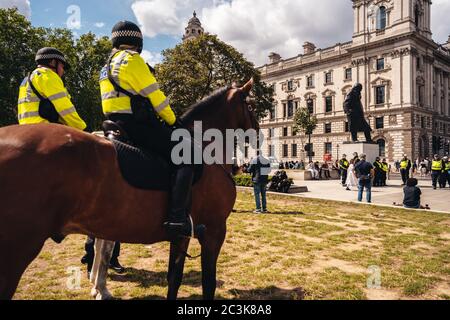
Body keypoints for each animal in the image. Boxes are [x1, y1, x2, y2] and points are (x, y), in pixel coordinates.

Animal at [0, 79, 256, 298]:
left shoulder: (182, 234)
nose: (256, 131)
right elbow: (208, 282)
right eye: (252, 105)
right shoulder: (214, 230)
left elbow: (174, 278)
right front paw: (99, 287)